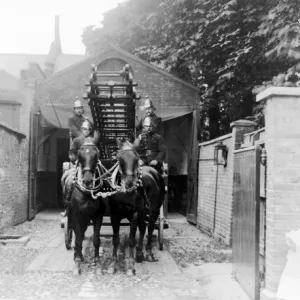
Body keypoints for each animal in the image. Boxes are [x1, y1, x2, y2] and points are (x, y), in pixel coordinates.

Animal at [106, 139, 165, 276]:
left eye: (137, 159)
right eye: (119, 158)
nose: (129, 183)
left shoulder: (135, 213)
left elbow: (131, 239)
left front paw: (130, 266)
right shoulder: (114, 214)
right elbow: (115, 239)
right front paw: (113, 264)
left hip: (153, 211)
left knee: (150, 228)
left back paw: (148, 253)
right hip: (143, 212)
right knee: (143, 227)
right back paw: (139, 253)